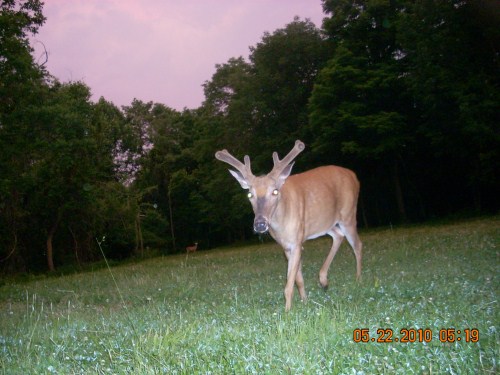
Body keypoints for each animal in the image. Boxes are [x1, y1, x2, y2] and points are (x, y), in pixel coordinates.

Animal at [217, 141, 362, 312]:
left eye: (274, 191)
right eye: (250, 194)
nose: (260, 224)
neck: (281, 226)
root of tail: (354, 176)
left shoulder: (296, 241)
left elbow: (288, 286)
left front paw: (287, 311)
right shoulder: (286, 246)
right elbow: (298, 279)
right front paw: (305, 301)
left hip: (348, 213)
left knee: (357, 244)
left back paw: (358, 279)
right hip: (325, 222)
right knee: (338, 235)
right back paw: (324, 281)